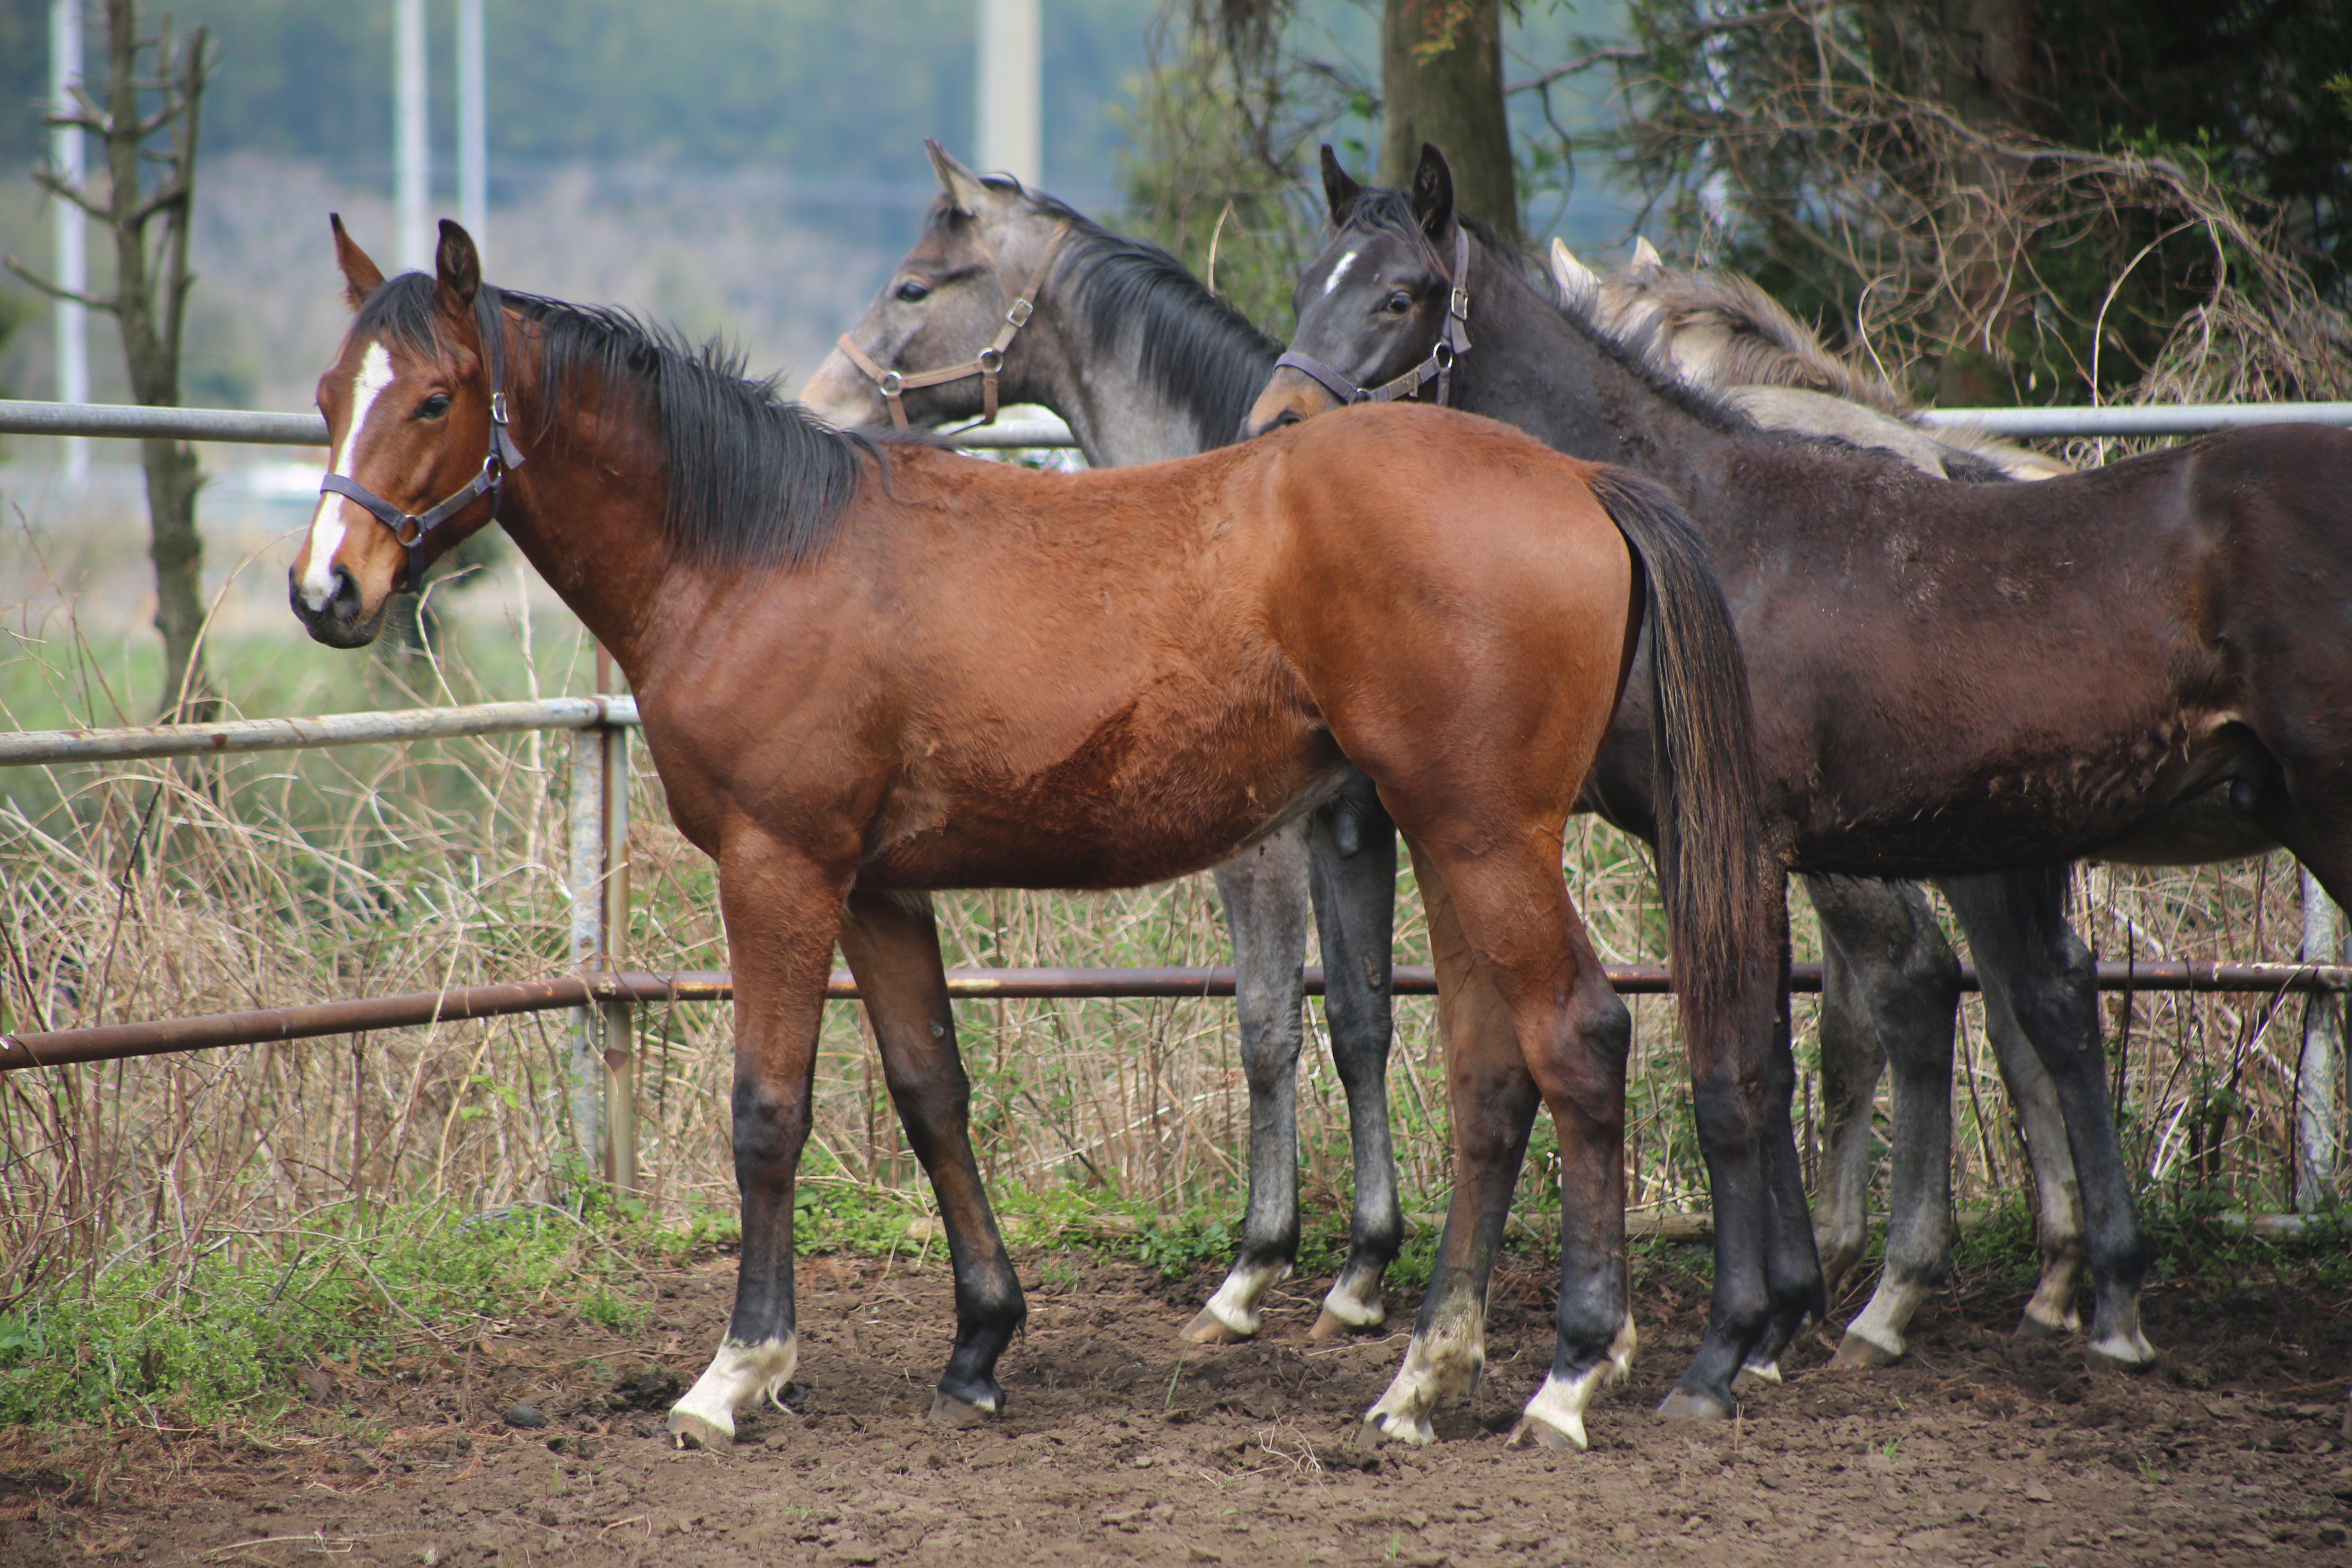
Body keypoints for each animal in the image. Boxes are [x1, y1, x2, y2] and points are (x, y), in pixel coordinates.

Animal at [289, 215, 1778, 1457]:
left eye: (434, 399)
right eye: (326, 397)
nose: (325, 593)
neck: (756, 551)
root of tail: (1579, 481)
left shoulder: (781, 870)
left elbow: (768, 1114)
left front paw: (737, 1371)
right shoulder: (877, 890)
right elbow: (930, 1094)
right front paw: (979, 1342)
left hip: (1484, 841)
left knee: (1579, 1041)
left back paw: (1574, 1372)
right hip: (1454, 839)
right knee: (1489, 1080)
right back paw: (1423, 1376)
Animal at [1251, 144, 2352, 1373]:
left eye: (1400, 295)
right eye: (1307, 282)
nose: (1274, 424)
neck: (1705, 533)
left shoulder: (1728, 838)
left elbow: (1740, 1063)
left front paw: (1743, 1330)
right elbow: (1772, 1057)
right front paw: (1779, 1307)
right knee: (2046, 1001)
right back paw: (2091, 1294)